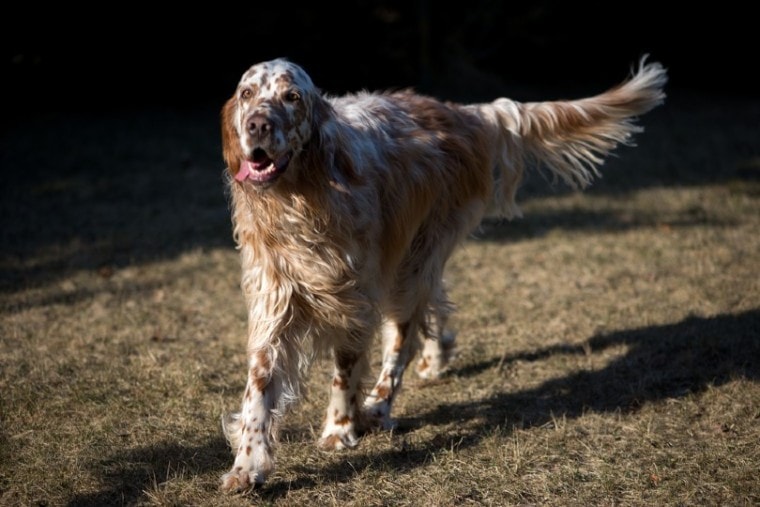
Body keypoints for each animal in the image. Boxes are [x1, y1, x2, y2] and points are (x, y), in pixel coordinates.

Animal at [215, 56, 664, 492]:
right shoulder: (274, 303)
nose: (257, 125)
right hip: (415, 262)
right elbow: (260, 385)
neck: (301, 199)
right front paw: (247, 466)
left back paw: (380, 404)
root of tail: (459, 112)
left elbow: (345, 371)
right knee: (432, 304)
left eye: (292, 97)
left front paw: (340, 430)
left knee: (403, 339)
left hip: (412, 263)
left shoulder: (355, 300)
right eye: (247, 94)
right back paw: (435, 356)